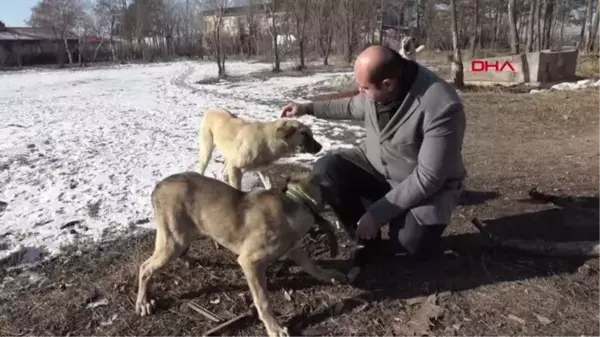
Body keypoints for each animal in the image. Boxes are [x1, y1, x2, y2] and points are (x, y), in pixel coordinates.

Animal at [134, 171, 344, 336]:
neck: (295, 202)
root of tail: (158, 186)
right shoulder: (250, 262)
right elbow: (263, 300)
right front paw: (274, 328)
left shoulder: (293, 249)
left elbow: (312, 265)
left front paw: (329, 276)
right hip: (173, 240)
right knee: (145, 268)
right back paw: (143, 302)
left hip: (183, 235)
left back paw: (189, 261)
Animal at [196, 109, 324, 190]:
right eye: (304, 133)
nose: (320, 147)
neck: (268, 140)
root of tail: (210, 110)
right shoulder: (235, 168)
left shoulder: (262, 170)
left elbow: (269, 185)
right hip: (206, 153)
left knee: (222, 173)